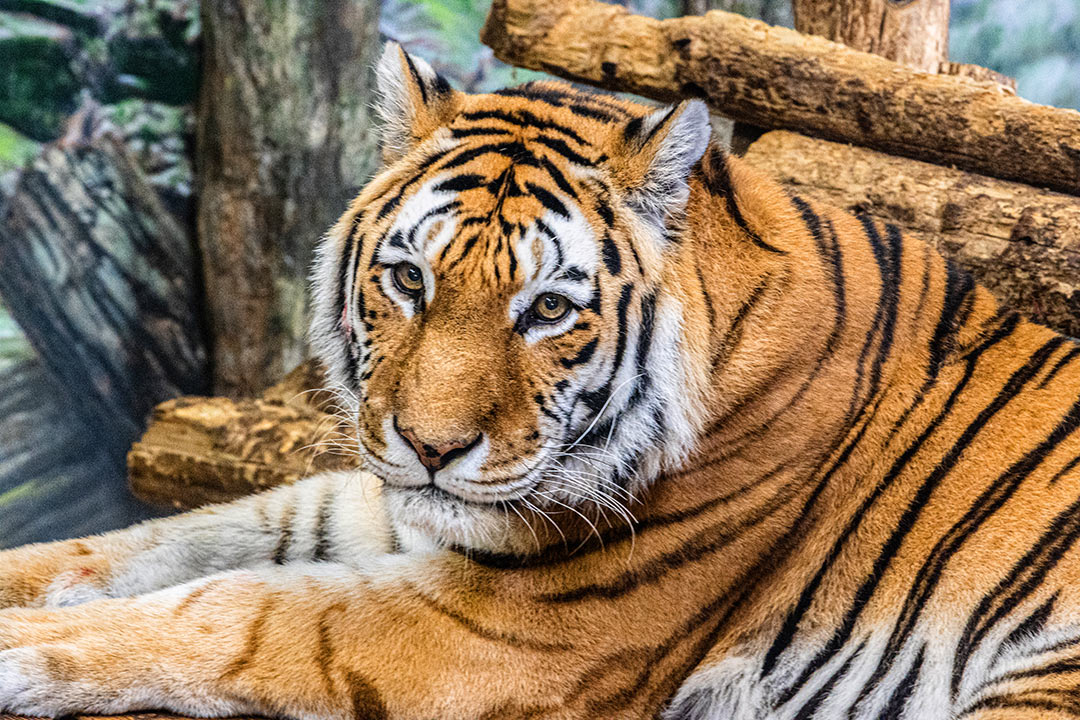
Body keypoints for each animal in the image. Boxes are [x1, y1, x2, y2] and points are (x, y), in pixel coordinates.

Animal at [2, 42, 1080, 716]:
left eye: (549, 311)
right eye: (409, 279)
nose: (432, 449)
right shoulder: (388, 507)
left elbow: (233, 610)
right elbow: (151, 541)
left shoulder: (507, 635)